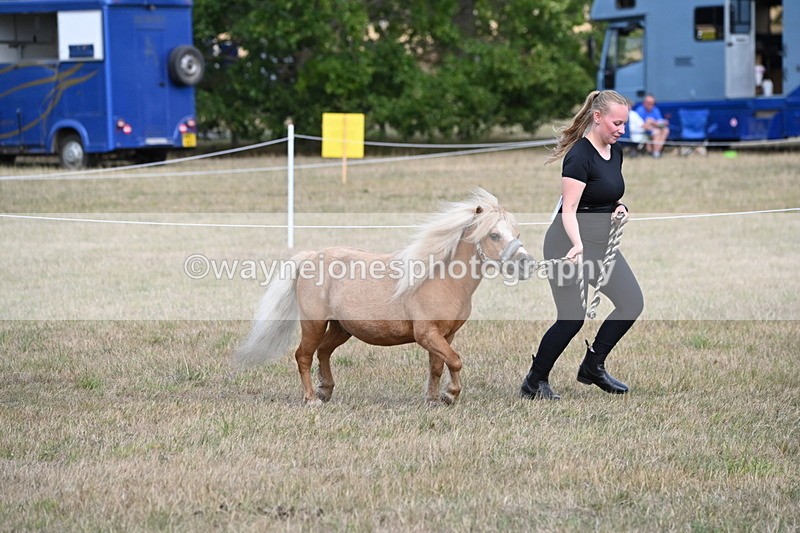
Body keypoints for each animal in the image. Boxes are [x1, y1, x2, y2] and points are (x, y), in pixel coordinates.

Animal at [234, 188, 536, 405]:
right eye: (494, 234)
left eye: (517, 233)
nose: (526, 264)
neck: (442, 279)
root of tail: (310, 257)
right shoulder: (427, 334)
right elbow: (455, 361)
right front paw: (449, 395)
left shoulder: (445, 335)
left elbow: (438, 365)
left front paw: (434, 399)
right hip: (314, 324)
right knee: (304, 356)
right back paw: (311, 399)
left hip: (341, 328)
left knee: (323, 352)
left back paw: (326, 391)